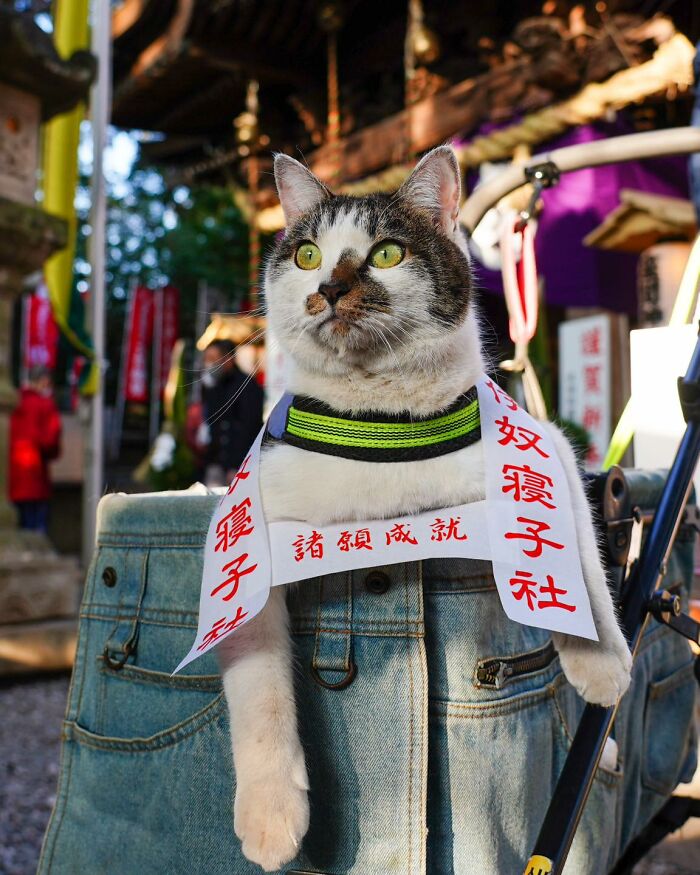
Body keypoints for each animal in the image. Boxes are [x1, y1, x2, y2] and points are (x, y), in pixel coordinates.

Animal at [216, 147, 632, 872]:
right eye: (306, 255)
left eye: (386, 253)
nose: (328, 287)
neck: (385, 428)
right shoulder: (250, 529)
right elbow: (257, 681)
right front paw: (271, 816)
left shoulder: (543, 451)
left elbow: (580, 562)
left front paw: (603, 663)